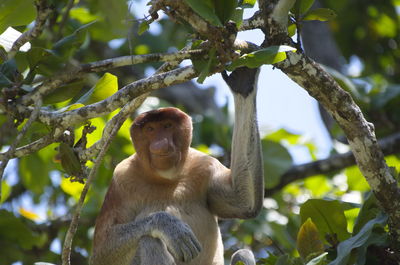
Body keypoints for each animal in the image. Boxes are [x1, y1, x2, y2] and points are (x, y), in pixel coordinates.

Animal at [90, 66, 262, 264]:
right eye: (150, 129)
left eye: (167, 126)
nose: (161, 144)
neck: (167, 177)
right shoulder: (122, 179)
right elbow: (101, 250)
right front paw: (169, 226)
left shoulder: (205, 165)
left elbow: (244, 203)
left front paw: (244, 82)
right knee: (149, 240)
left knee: (243, 253)